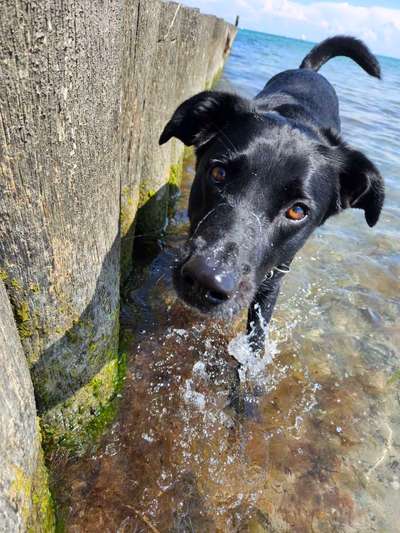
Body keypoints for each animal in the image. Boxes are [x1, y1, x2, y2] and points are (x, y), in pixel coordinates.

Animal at [159, 36, 384, 350]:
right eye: (218, 173)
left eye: (297, 211)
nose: (206, 279)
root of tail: (308, 70)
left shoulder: (273, 279)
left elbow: (257, 334)